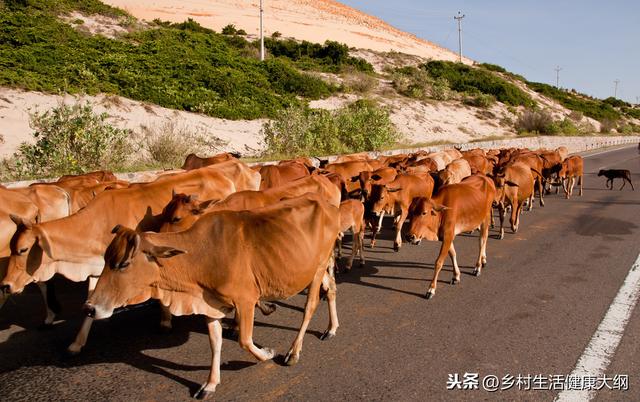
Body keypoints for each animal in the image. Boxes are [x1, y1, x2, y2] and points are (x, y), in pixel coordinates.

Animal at [85, 194, 340, 396]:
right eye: (106, 259)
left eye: (124, 263)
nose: (89, 308)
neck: (201, 254)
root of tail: (327, 206)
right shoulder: (210, 305)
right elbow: (215, 343)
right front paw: (210, 384)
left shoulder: (246, 300)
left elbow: (245, 340)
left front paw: (267, 353)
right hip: (316, 268)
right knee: (332, 289)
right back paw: (331, 328)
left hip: (318, 268)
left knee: (311, 305)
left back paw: (294, 351)